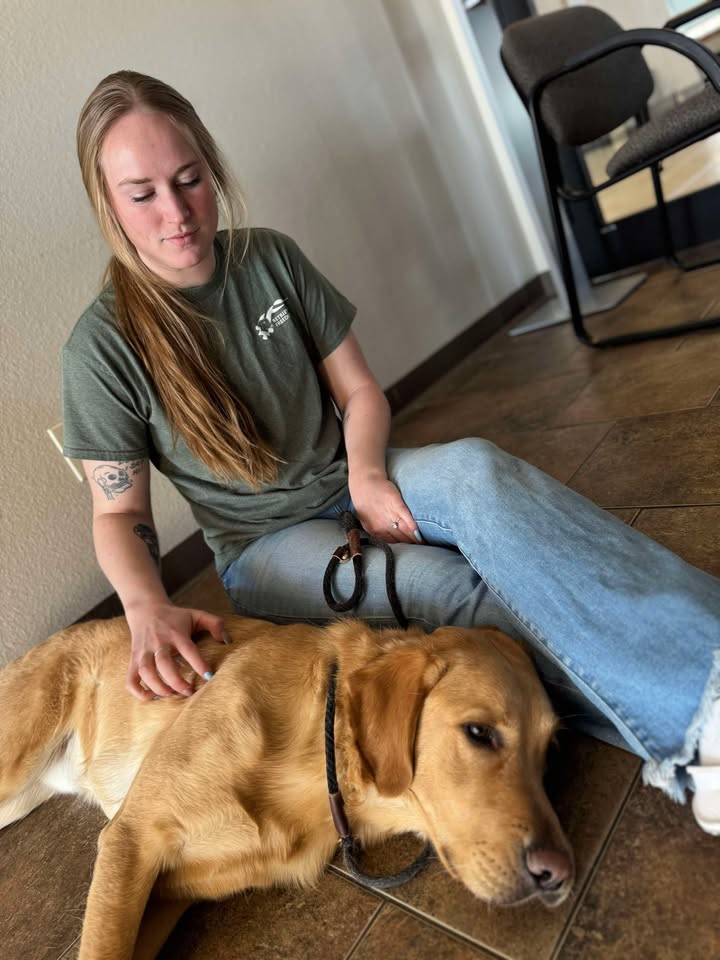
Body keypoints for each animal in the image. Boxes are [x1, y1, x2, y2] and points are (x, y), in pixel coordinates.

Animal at [0, 616, 572, 960]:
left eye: (548, 752)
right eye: (479, 733)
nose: (558, 874)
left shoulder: (163, 891)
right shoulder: (131, 838)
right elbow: (105, 947)